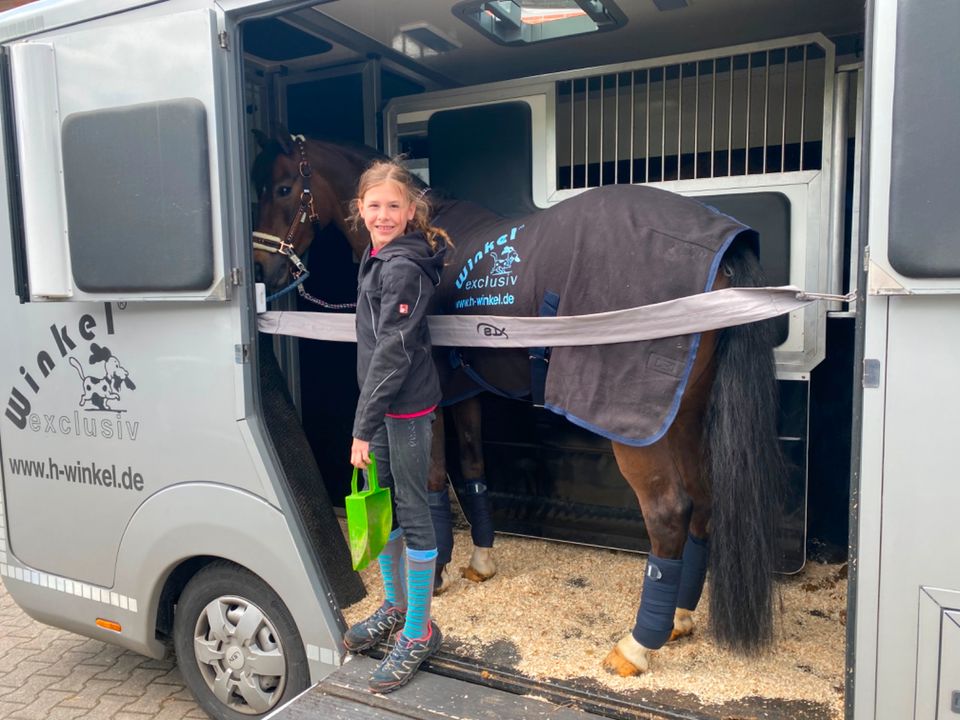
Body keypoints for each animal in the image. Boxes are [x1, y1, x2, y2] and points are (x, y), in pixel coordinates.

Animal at [251, 131, 784, 676]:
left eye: (283, 187)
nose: (260, 266)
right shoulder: (465, 392)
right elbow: (473, 470)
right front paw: (480, 563)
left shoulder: (431, 400)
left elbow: (434, 478)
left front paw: (437, 574)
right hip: (685, 414)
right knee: (703, 501)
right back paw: (678, 618)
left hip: (636, 424)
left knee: (669, 512)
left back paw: (636, 646)